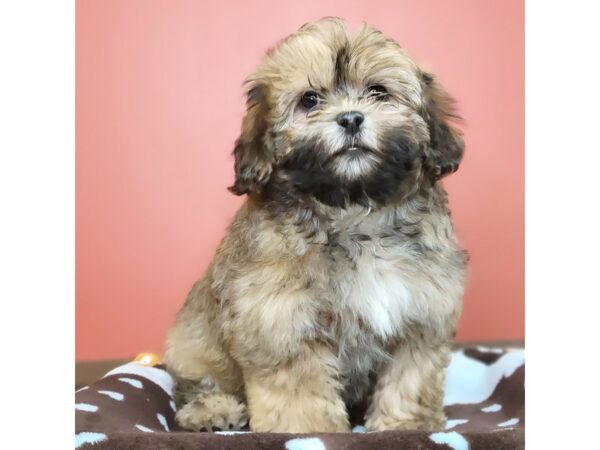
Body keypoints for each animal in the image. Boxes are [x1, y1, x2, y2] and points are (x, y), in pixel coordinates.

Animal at [165, 16, 468, 432]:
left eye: (378, 91)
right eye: (310, 100)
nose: (351, 118)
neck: (354, 208)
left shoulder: (423, 313)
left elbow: (410, 377)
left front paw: (406, 425)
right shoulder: (281, 320)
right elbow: (299, 385)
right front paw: (308, 430)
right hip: (192, 344)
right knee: (194, 383)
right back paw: (212, 410)